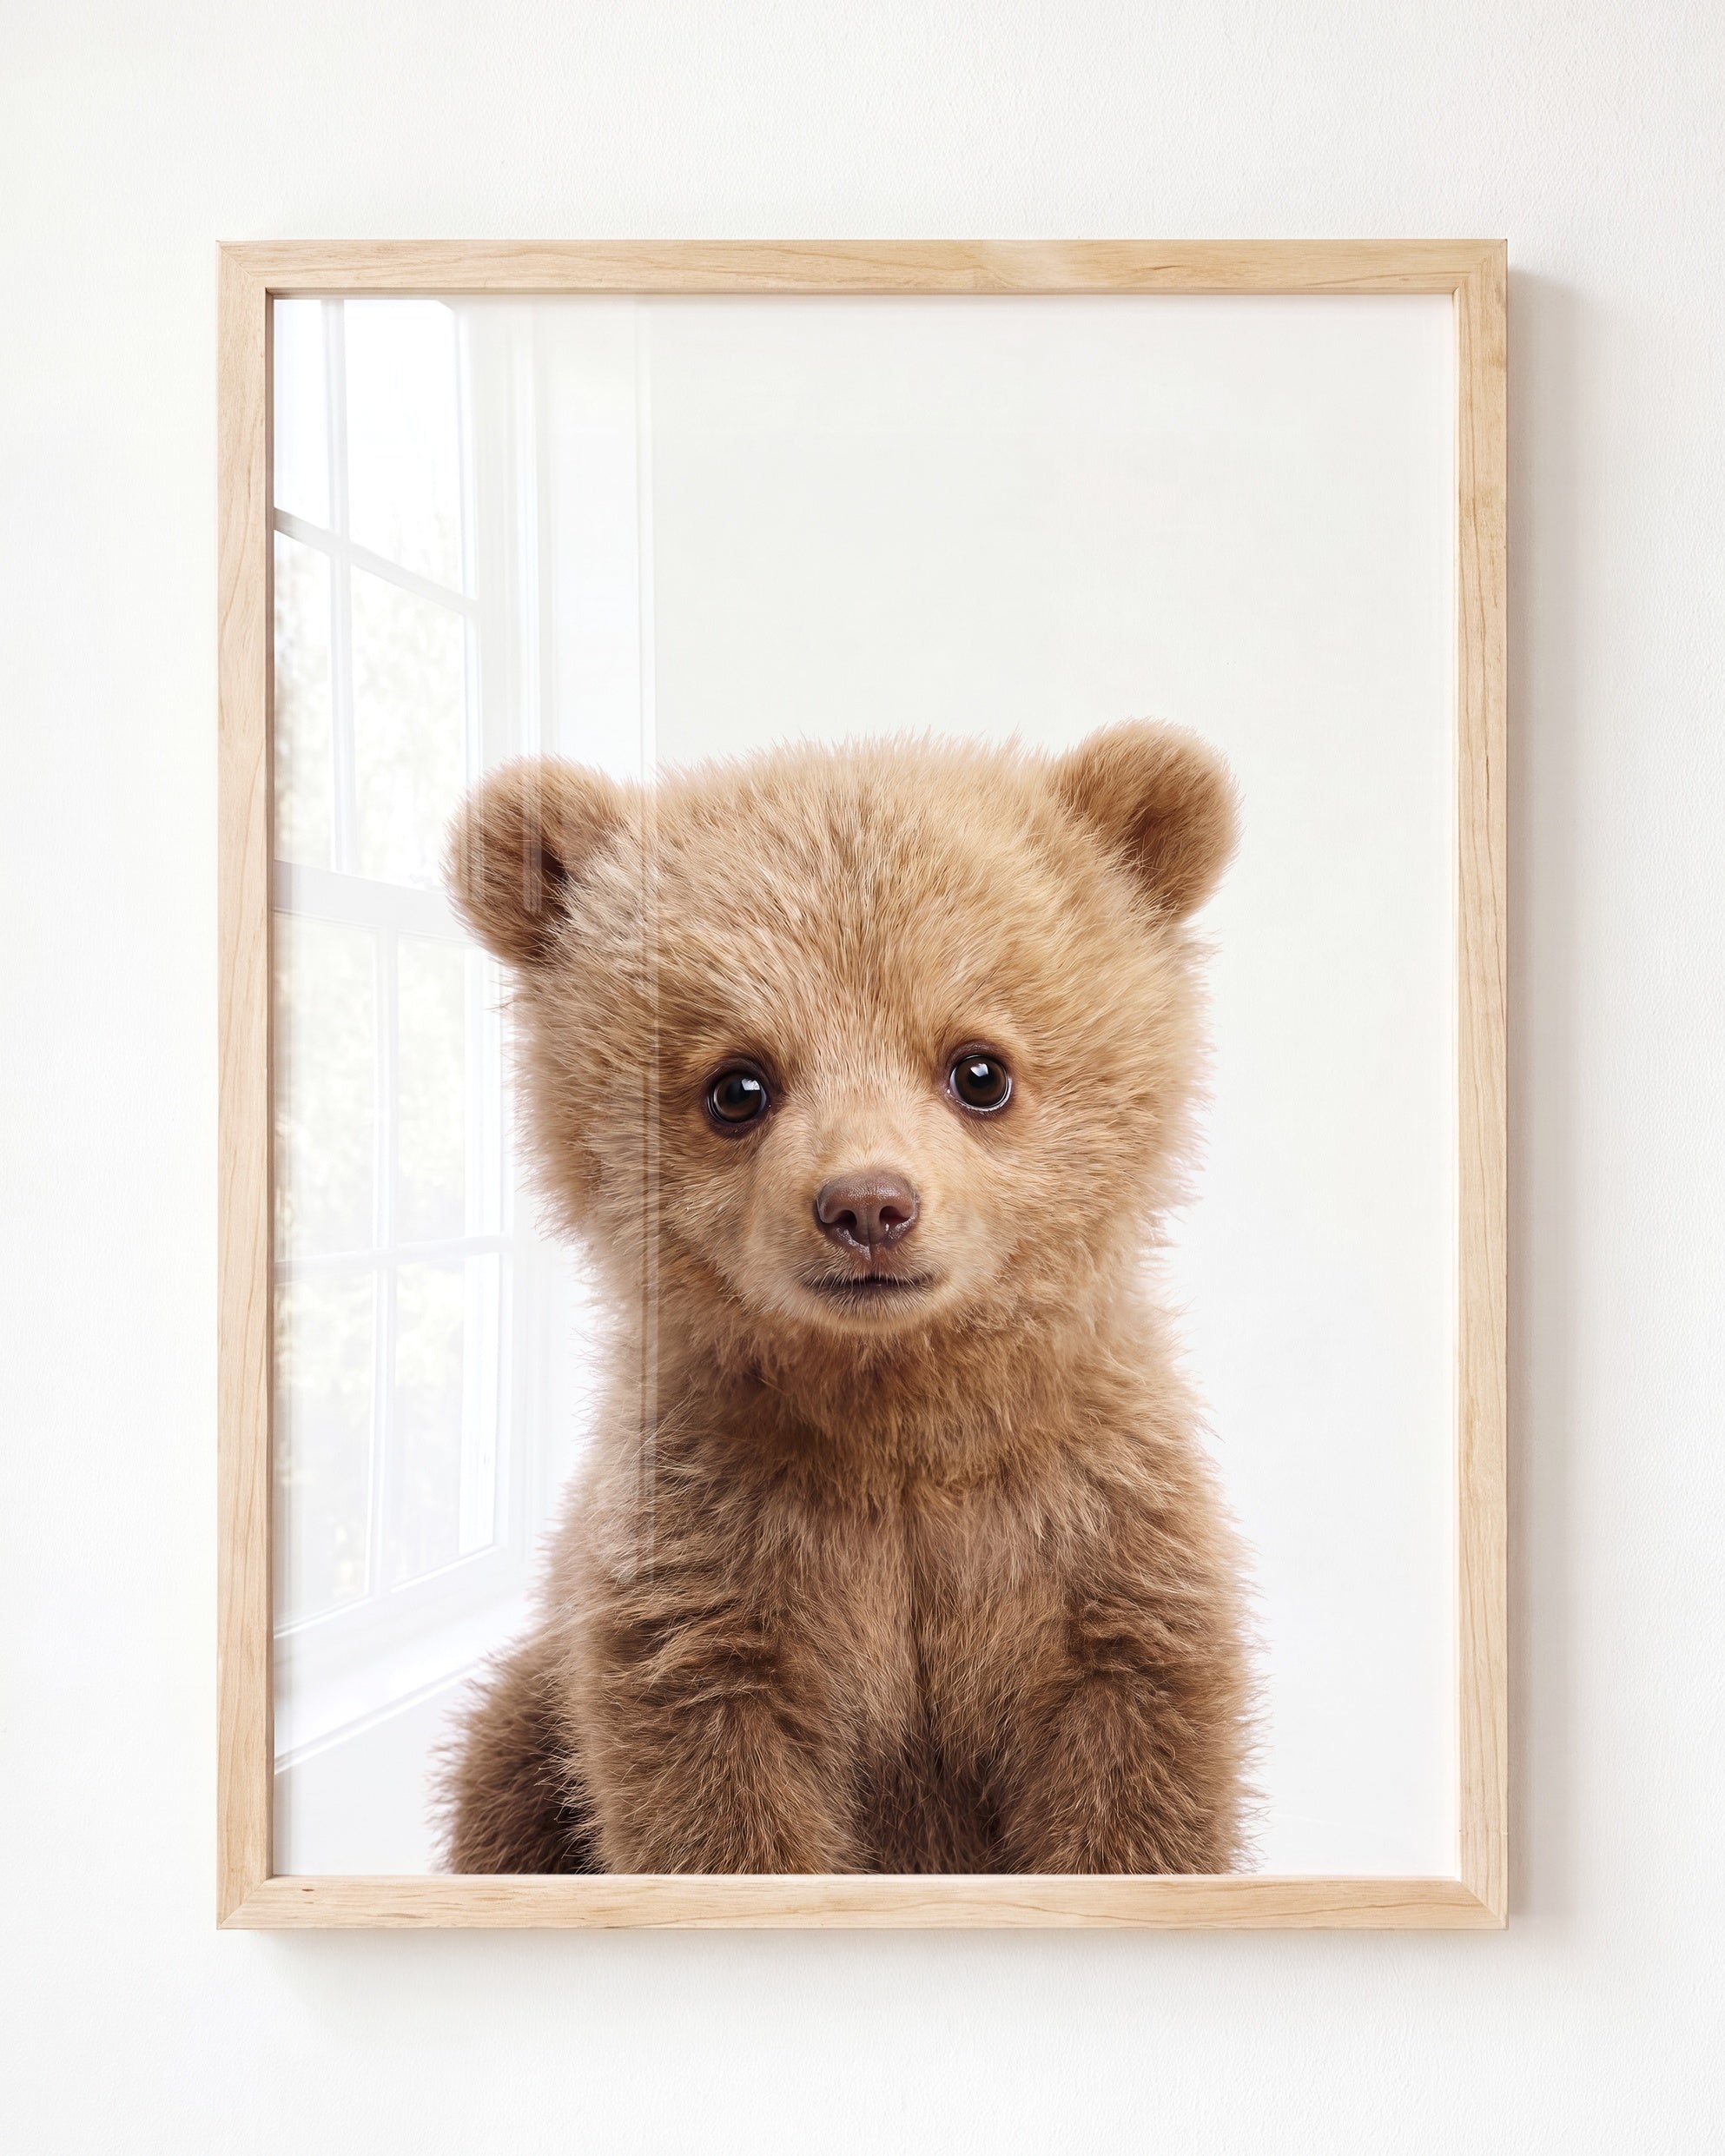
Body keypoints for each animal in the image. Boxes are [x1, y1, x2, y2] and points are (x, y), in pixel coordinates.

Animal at [436, 722, 1254, 1875]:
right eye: (737, 1085)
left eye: (980, 1069)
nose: (868, 1204)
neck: (895, 1413)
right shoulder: (710, 1574)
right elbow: (715, 1801)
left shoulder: (1094, 1548)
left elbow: (1136, 1784)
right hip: (527, 1728)